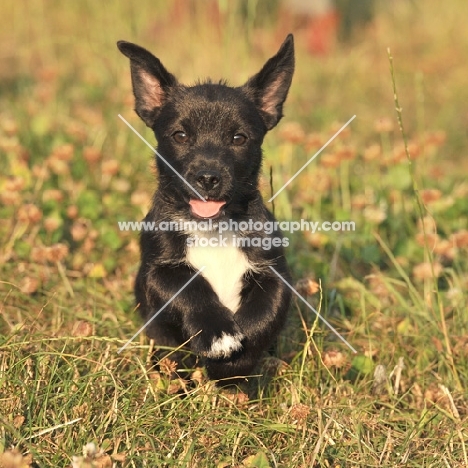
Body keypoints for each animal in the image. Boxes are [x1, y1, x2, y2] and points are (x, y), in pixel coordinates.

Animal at [119, 33, 296, 384]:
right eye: (180, 135)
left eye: (239, 138)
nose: (208, 177)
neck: (214, 229)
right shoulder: (156, 273)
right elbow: (188, 288)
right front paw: (219, 337)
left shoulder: (275, 274)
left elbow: (264, 314)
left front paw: (233, 366)